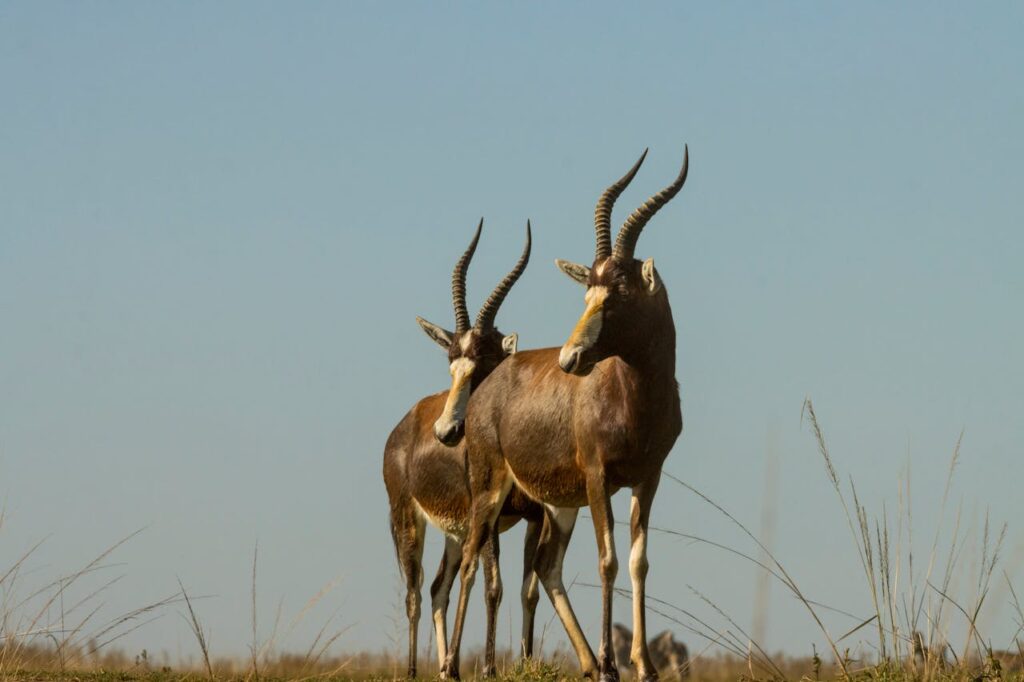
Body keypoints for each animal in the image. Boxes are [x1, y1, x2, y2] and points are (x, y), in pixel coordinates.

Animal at [383, 220, 543, 678]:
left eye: (484, 362)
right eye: (451, 364)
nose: (446, 431)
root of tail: (401, 430)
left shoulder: (536, 516)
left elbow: (528, 590)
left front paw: (525, 662)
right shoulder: (487, 516)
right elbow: (493, 586)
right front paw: (489, 668)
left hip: (455, 531)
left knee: (439, 587)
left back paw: (448, 669)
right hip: (407, 520)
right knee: (415, 593)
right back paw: (414, 671)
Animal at [438, 148, 689, 682]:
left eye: (618, 292)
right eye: (587, 293)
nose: (570, 359)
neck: (631, 396)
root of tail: (488, 387)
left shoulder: (648, 478)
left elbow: (638, 561)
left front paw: (642, 667)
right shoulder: (597, 478)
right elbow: (608, 560)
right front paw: (615, 664)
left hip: (558, 505)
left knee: (545, 566)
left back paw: (587, 663)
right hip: (490, 493)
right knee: (469, 563)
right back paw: (452, 666)